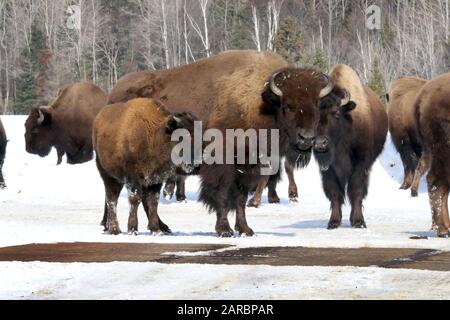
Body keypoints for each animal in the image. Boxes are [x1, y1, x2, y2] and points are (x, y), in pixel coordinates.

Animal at [93, 97, 199, 235]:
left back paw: (162, 227)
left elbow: (153, 202)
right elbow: (135, 200)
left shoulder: (155, 180)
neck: (154, 136)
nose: (195, 162)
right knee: (112, 199)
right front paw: (132, 229)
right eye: (182, 137)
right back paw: (114, 229)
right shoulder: (133, 179)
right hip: (109, 176)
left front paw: (156, 230)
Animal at [110, 49, 342, 235]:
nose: (306, 138)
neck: (258, 103)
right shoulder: (222, 166)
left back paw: (161, 227)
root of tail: (114, 93)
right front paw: (224, 230)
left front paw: (245, 229)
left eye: (317, 105)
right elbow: (221, 196)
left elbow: (240, 199)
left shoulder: (247, 168)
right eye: (288, 105)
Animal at [314, 64, 388, 230]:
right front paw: (333, 222)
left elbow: (356, 190)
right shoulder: (327, 169)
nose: (320, 143)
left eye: (336, 113)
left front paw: (359, 221)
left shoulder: (361, 164)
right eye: (313, 115)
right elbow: (335, 192)